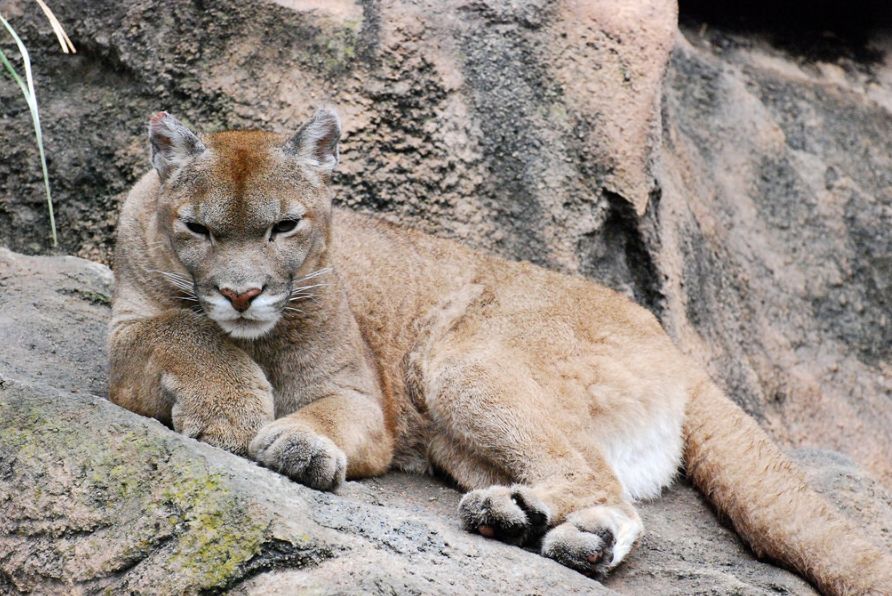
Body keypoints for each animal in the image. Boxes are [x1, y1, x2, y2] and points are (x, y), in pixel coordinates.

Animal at [111, 109, 892, 592]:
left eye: (284, 227)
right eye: (198, 229)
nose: (242, 294)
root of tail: (677, 349)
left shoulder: (365, 401)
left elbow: (319, 413)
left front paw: (293, 444)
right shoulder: (126, 337)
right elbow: (178, 327)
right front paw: (231, 405)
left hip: (460, 366)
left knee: (593, 474)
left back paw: (524, 519)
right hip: (455, 433)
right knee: (613, 492)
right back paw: (549, 529)